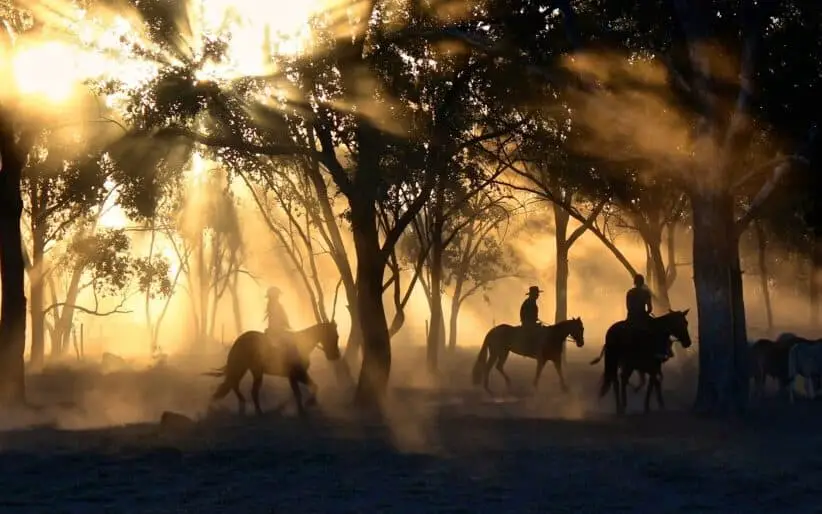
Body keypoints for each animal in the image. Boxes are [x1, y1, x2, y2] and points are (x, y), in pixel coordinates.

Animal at [206, 320, 342, 416]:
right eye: (334, 336)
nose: (335, 355)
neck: (302, 345)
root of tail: (239, 341)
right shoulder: (296, 375)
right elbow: (302, 391)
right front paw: (306, 407)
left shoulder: (296, 376)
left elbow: (308, 388)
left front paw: (306, 407)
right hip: (249, 370)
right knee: (247, 389)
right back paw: (257, 411)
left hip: (249, 370)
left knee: (236, 385)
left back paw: (247, 405)